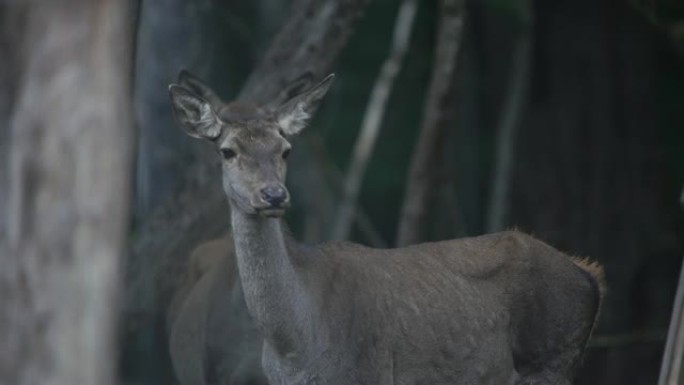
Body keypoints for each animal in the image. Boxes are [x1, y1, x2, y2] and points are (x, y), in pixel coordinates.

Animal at [170, 70, 604, 384]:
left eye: (285, 150)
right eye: (228, 151)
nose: (274, 195)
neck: (292, 346)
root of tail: (589, 276)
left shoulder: (370, 372)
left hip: (553, 359)